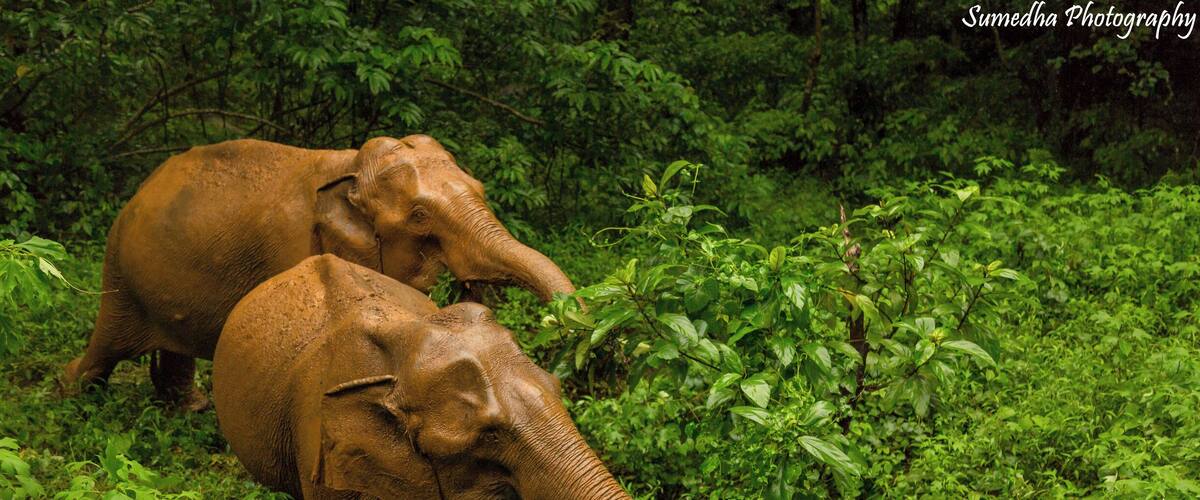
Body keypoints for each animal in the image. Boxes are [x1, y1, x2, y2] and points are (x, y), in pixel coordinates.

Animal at [64, 134, 576, 409]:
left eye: (480, 187)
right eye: (419, 217)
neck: (348, 165)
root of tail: (139, 191)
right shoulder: (288, 248)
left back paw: (191, 408)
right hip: (122, 275)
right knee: (107, 345)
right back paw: (68, 392)